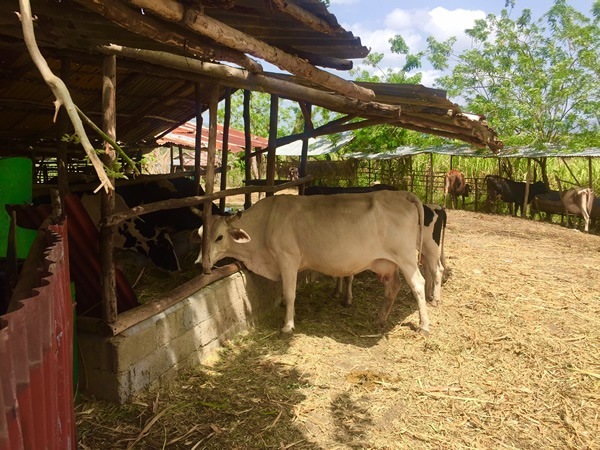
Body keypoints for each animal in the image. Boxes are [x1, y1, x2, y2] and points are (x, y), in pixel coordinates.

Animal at [197, 190, 432, 334]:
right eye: (201, 234)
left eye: (219, 237)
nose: (202, 262)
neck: (266, 221)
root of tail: (401, 193)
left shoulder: (288, 258)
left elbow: (289, 293)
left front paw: (288, 325)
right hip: (388, 262)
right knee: (393, 287)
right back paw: (380, 319)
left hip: (406, 258)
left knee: (418, 284)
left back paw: (424, 326)